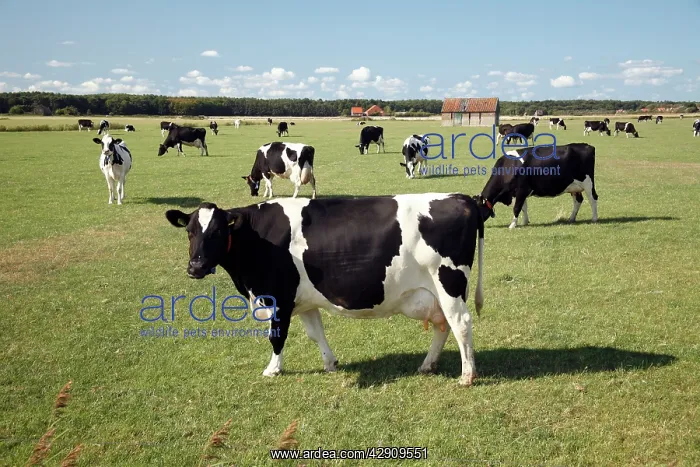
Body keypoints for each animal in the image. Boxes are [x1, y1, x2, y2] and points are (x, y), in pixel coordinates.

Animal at [164, 192, 487, 386]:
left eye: (218, 232)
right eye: (190, 232)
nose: (195, 267)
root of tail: (461, 198)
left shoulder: (278, 297)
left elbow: (276, 336)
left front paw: (273, 369)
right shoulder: (304, 300)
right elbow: (315, 333)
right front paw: (330, 363)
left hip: (449, 283)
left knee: (461, 324)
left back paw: (467, 375)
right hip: (436, 294)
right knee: (443, 325)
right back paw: (428, 365)